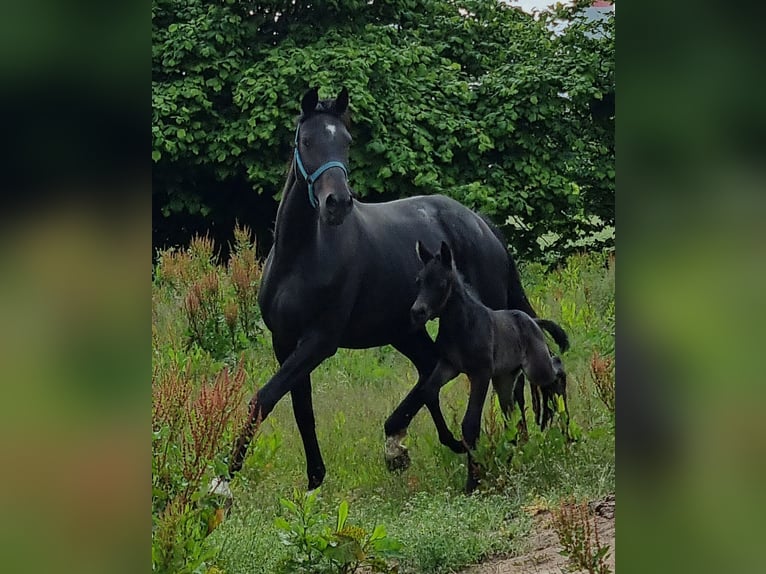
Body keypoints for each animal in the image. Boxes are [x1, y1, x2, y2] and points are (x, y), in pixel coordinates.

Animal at [225, 88, 540, 492]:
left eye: (346, 141)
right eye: (307, 141)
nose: (338, 203)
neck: (302, 255)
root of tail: (482, 225)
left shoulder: (319, 342)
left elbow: (264, 398)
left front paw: (224, 478)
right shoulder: (285, 342)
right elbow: (300, 410)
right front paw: (314, 480)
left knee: (507, 382)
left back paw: (512, 442)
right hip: (404, 329)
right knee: (430, 369)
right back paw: (410, 442)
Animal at [414, 243, 568, 496]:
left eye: (442, 283)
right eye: (419, 281)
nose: (417, 312)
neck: (462, 326)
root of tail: (533, 321)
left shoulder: (480, 373)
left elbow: (470, 423)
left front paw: (472, 481)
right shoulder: (449, 366)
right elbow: (428, 392)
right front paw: (453, 442)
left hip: (536, 367)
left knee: (557, 369)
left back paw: (562, 424)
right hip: (505, 378)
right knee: (512, 418)